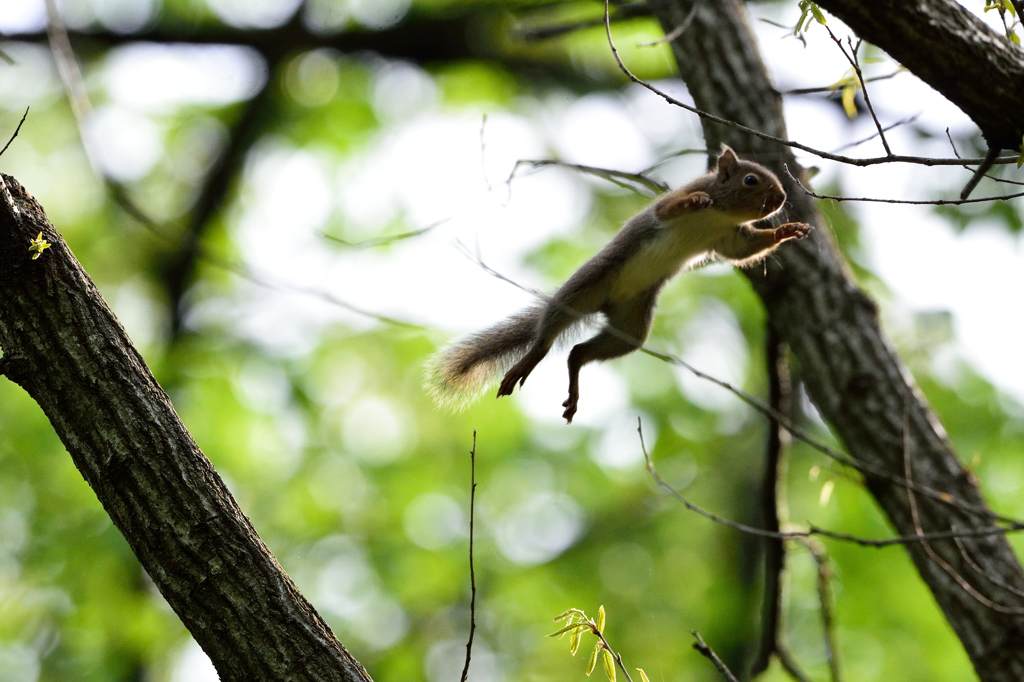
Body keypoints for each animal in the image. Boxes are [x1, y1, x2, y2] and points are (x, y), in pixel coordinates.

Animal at [421, 144, 806, 421]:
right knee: (548, 334)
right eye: (751, 180)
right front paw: (695, 201)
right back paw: (529, 360)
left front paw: (787, 231)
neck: (721, 213)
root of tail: (608, 302)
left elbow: (744, 251)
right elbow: (669, 208)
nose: (782, 199)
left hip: (630, 326)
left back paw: (573, 381)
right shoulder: (673, 206)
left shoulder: (728, 238)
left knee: (578, 352)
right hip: (582, 288)